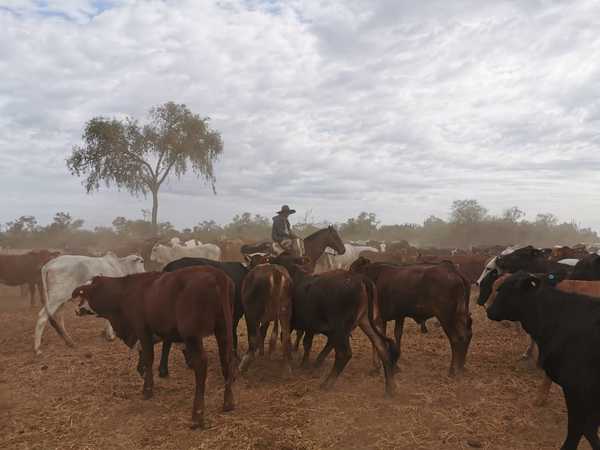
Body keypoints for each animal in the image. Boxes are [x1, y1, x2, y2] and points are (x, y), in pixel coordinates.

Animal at [71, 266, 236, 430]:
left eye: (85, 292)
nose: (76, 308)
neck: (125, 292)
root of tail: (216, 274)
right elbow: (145, 359)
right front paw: (146, 376)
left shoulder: (142, 330)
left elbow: (149, 358)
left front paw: (148, 389)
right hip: (223, 329)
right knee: (227, 359)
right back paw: (228, 402)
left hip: (192, 335)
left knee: (201, 365)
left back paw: (197, 415)